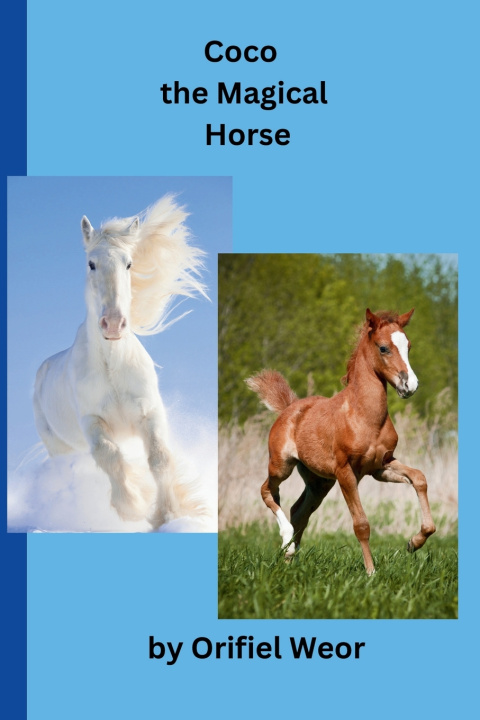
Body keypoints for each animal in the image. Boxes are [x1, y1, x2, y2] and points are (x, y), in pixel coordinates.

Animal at [33, 195, 207, 528]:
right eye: (91, 264)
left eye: (129, 263)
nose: (113, 324)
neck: (112, 366)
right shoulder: (92, 423)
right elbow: (109, 456)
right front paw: (132, 507)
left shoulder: (149, 413)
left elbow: (160, 458)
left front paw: (169, 514)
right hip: (59, 448)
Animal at [246, 308, 436, 575]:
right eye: (383, 348)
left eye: (408, 346)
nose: (410, 385)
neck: (364, 417)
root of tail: (289, 408)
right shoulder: (345, 471)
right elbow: (361, 524)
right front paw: (371, 573)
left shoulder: (380, 466)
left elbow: (419, 478)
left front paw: (413, 542)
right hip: (281, 465)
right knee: (268, 491)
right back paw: (287, 543)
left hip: (319, 482)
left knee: (299, 511)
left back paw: (290, 557)